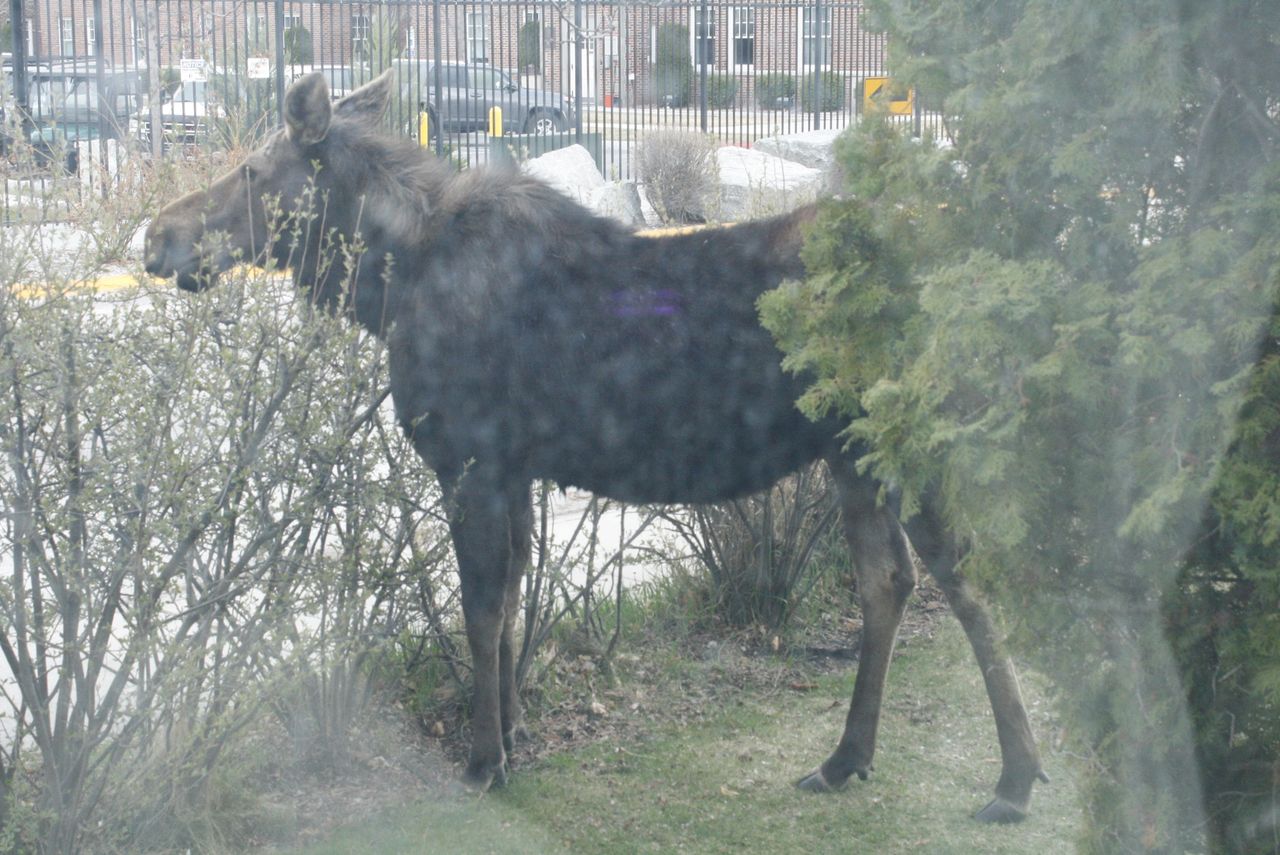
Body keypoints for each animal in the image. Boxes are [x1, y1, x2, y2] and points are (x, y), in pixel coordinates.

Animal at [147, 70, 1049, 819]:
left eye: (253, 172)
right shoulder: (510, 468)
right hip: (851, 456)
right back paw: (847, 756)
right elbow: (511, 597)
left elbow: (479, 609)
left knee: (969, 584)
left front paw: (483, 758)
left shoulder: (471, 461)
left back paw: (1015, 775)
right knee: (886, 580)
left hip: (912, 445)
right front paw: (513, 735)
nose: (157, 235)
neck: (383, 287)